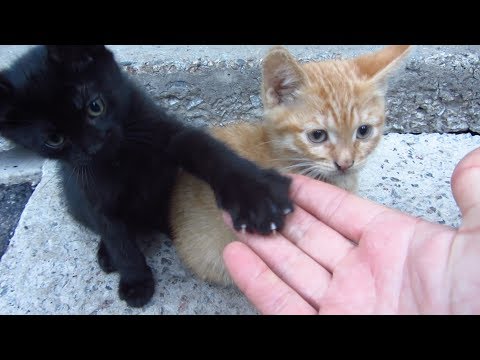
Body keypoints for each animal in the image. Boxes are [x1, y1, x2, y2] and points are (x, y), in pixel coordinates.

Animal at [0, 45, 292, 308]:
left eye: (95, 106)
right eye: (54, 139)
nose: (94, 147)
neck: (121, 158)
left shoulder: (168, 132)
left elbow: (205, 149)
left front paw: (255, 195)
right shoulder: (91, 192)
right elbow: (117, 238)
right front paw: (136, 281)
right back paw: (108, 255)